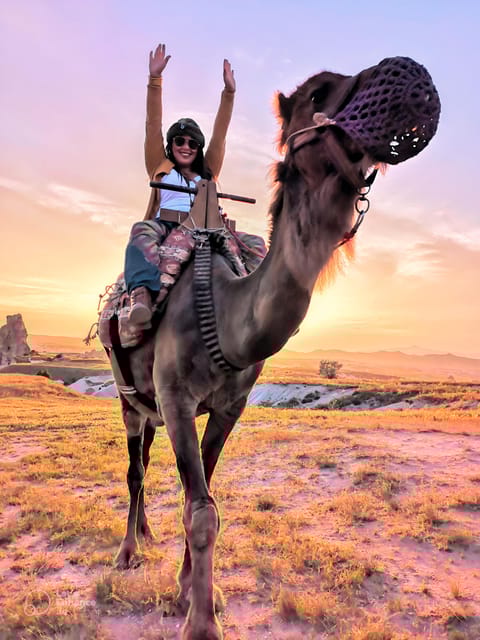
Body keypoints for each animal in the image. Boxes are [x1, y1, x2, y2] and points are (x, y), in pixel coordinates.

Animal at [109, 56, 440, 640]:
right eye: (318, 92)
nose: (412, 75)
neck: (222, 312)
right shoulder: (176, 399)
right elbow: (200, 510)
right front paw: (200, 624)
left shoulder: (228, 408)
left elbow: (205, 499)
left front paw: (188, 593)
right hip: (130, 397)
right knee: (134, 468)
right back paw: (128, 552)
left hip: (149, 407)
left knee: (145, 460)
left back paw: (145, 535)